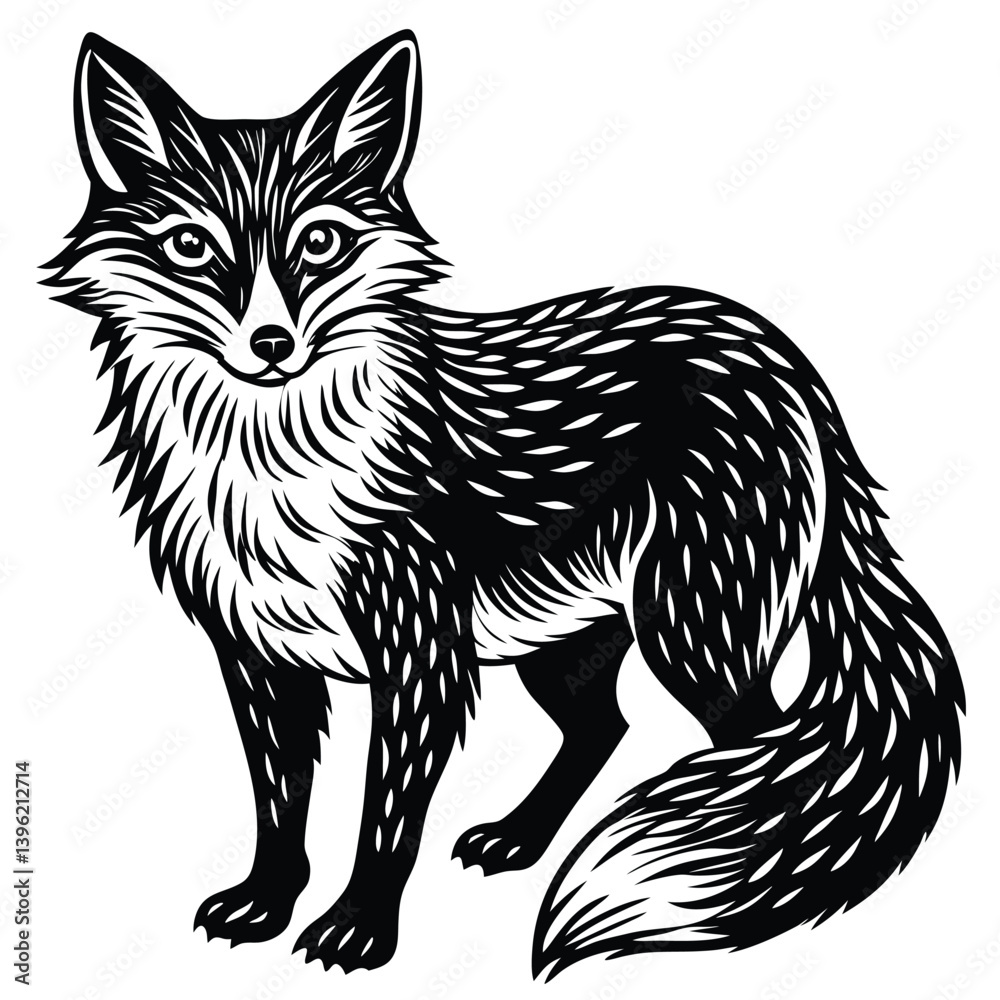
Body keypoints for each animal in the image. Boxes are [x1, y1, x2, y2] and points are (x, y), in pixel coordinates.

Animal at [45, 29, 964, 979]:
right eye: (190, 246)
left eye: (322, 243)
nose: (271, 343)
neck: (272, 465)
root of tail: (787, 362)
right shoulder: (260, 656)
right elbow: (279, 803)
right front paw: (267, 902)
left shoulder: (420, 651)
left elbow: (386, 818)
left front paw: (360, 928)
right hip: (564, 646)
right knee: (605, 728)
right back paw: (522, 839)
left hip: (692, 635)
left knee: (761, 751)